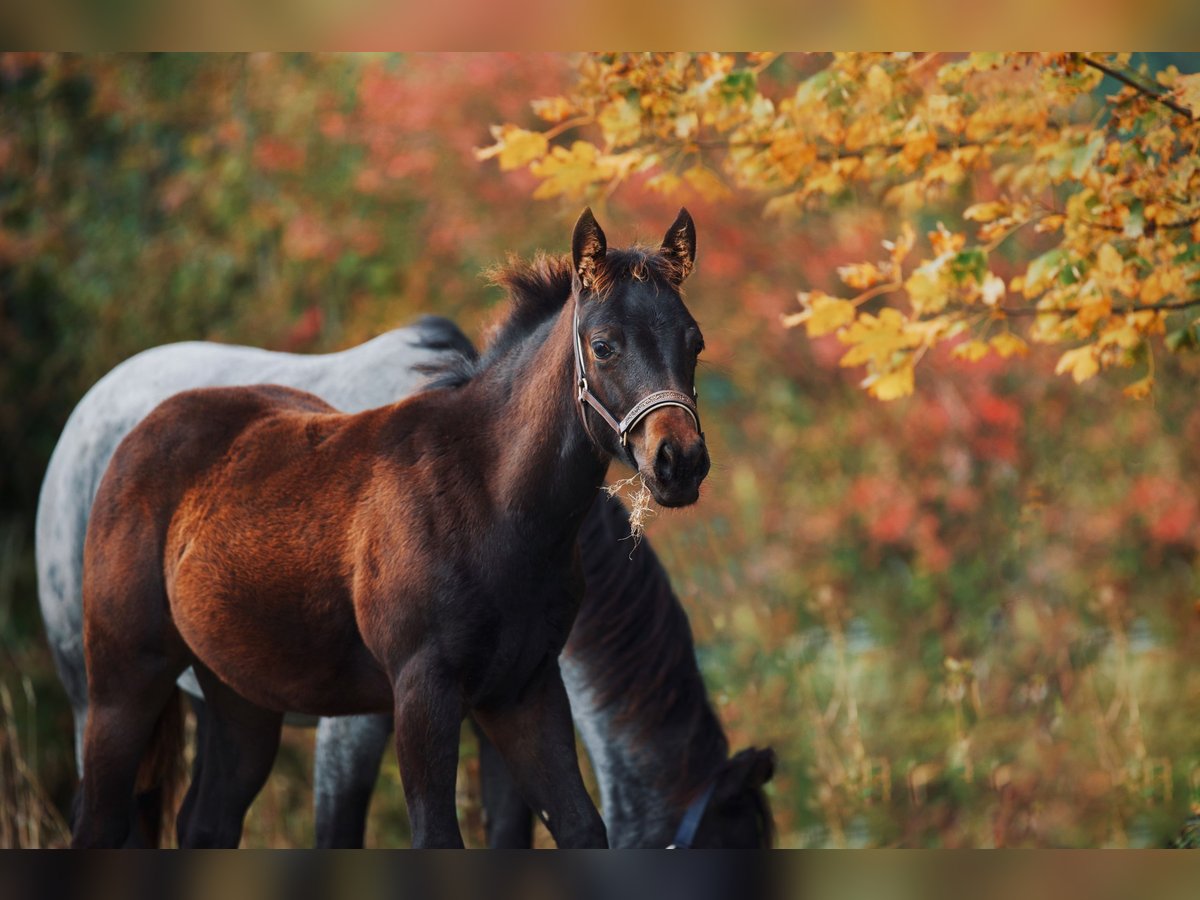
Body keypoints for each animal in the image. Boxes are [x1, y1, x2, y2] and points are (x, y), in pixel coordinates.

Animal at [72, 207, 710, 849]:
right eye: (603, 347)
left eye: (694, 342)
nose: (679, 462)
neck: (488, 501)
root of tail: (137, 429)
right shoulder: (420, 692)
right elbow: (435, 836)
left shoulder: (523, 690)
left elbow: (580, 826)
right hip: (123, 685)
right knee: (100, 820)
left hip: (240, 699)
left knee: (207, 822)